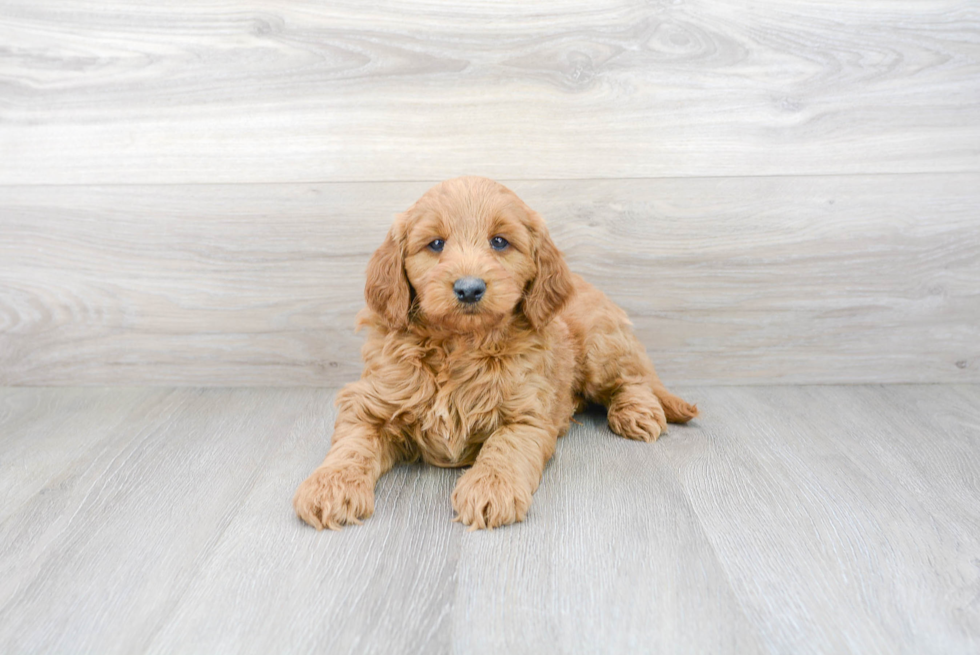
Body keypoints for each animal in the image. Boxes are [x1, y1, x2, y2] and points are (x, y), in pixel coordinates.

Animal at [292, 177, 696, 532]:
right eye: (435, 244)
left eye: (500, 242)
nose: (469, 288)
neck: (460, 345)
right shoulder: (370, 403)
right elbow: (352, 445)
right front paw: (329, 487)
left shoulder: (527, 415)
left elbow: (505, 447)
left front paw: (490, 490)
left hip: (601, 347)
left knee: (633, 379)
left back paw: (636, 413)